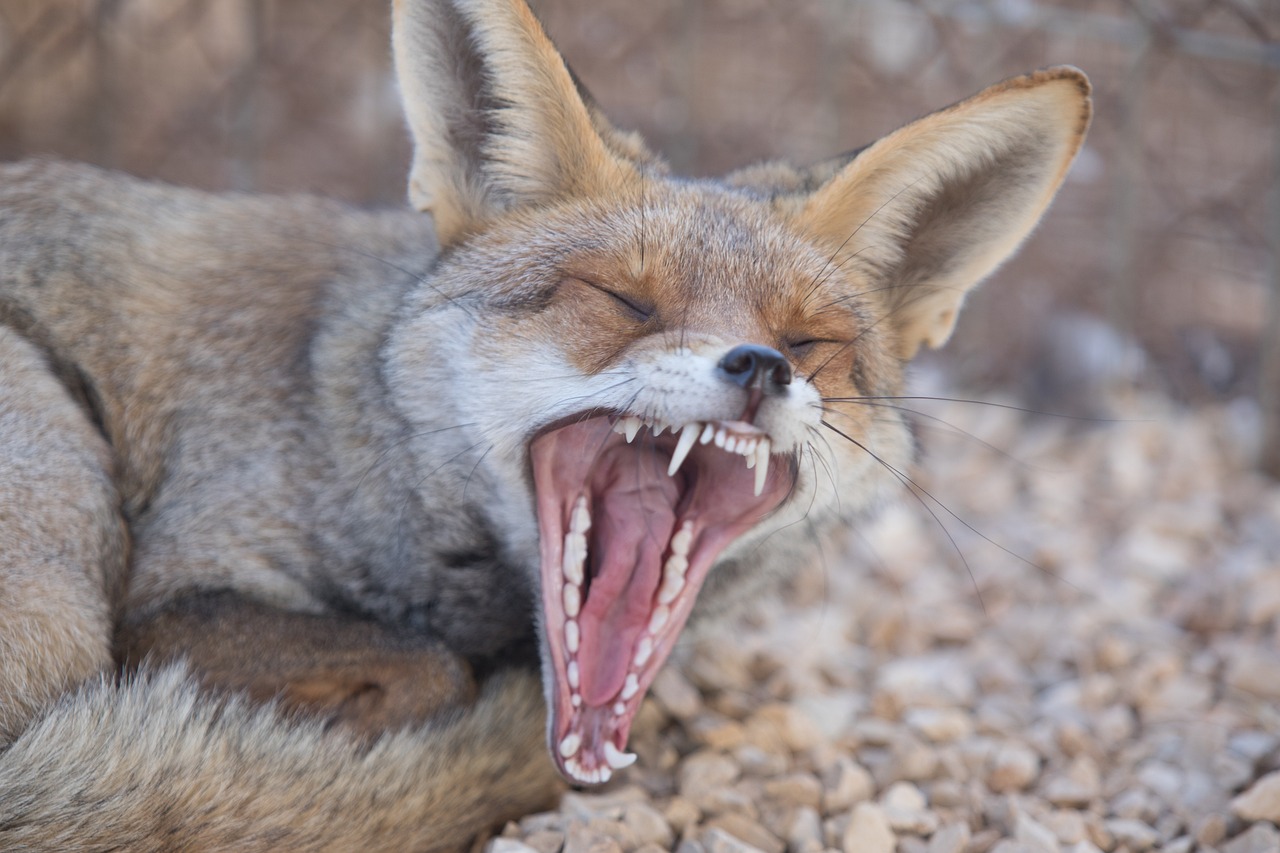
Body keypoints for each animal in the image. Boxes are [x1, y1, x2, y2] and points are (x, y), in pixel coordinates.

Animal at [0, 0, 1090, 845]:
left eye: (808, 339)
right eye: (625, 301)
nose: (760, 367)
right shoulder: (175, 588)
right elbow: (429, 668)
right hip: (64, 530)